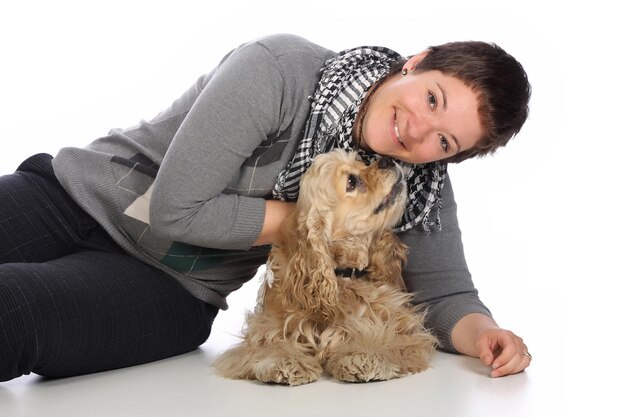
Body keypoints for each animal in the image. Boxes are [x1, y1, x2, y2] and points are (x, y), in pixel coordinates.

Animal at [212, 149, 436, 384]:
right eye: (351, 182)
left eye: (362, 162)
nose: (387, 160)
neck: (343, 275)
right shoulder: (268, 327)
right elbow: (268, 345)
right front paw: (284, 362)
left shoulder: (404, 327)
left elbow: (388, 337)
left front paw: (363, 356)